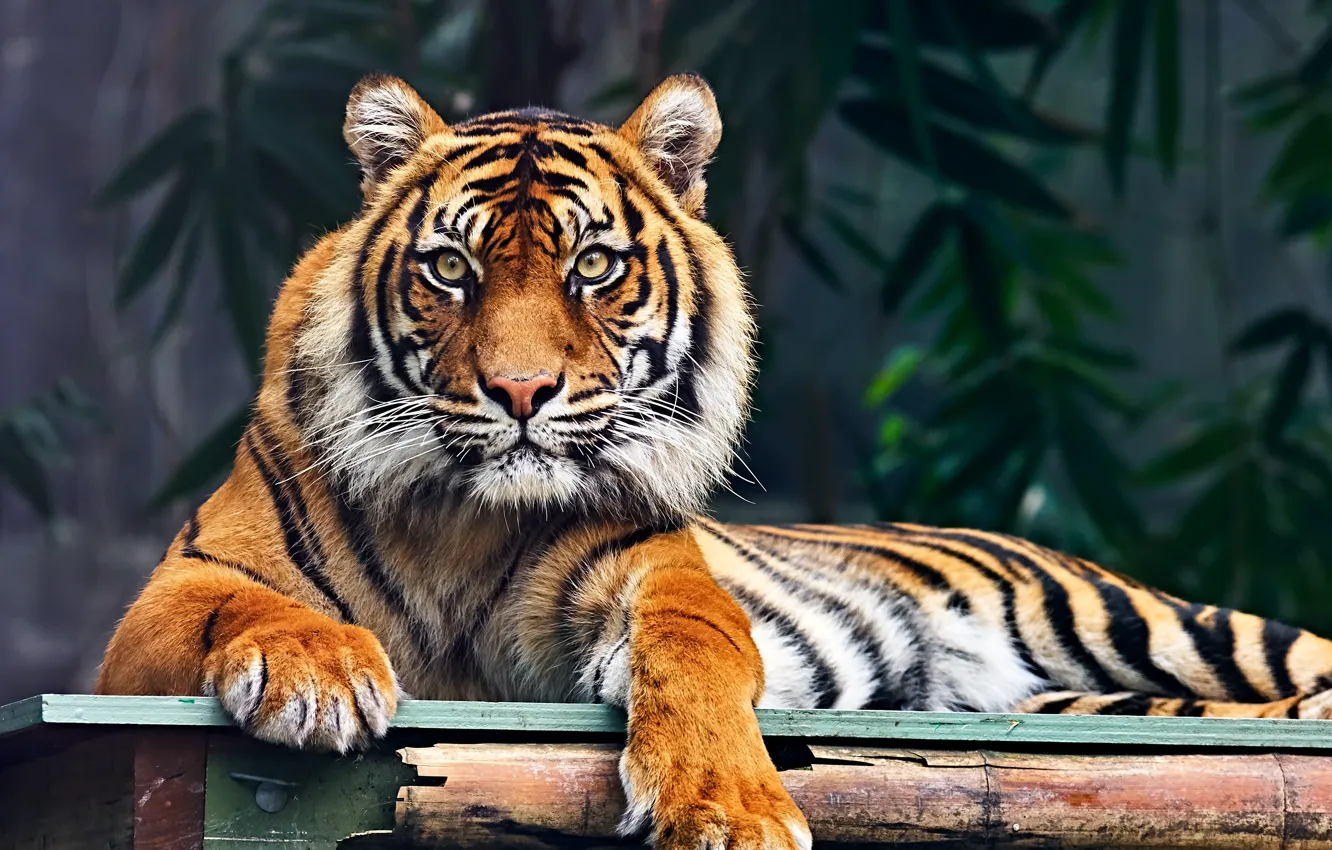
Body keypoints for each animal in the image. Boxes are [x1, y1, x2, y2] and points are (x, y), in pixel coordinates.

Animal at [97, 72, 1332, 850]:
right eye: (452, 269)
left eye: (594, 266)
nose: (521, 393)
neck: (465, 517)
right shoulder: (163, 604)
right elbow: (247, 607)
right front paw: (317, 670)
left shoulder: (651, 568)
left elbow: (699, 647)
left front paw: (728, 809)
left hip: (1145, 622)